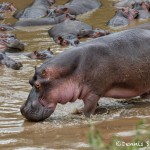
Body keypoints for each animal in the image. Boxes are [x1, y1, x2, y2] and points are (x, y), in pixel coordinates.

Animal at [19, 28, 150, 122]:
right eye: (29, 81)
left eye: (37, 85)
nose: (23, 109)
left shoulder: (93, 93)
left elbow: (88, 110)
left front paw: (81, 115)